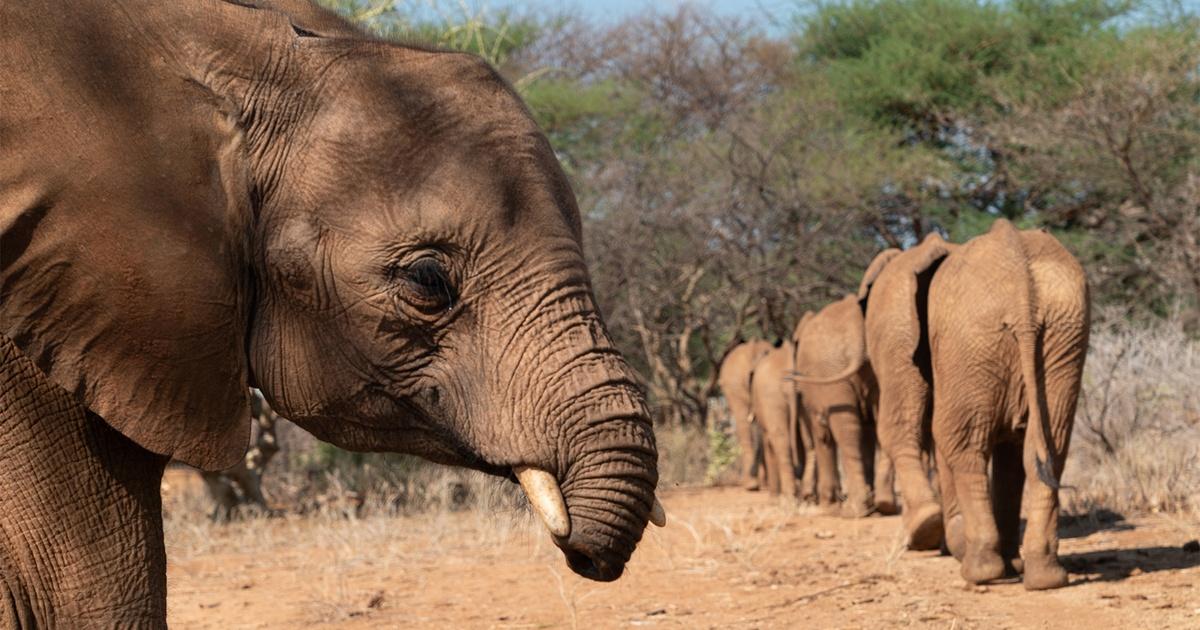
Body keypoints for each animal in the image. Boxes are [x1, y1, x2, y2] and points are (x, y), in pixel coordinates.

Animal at [790, 296, 896, 517]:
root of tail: (857, 328)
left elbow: (822, 435)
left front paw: (827, 507)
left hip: (830, 369)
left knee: (845, 431)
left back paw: (854, 509)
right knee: (877, 420)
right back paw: (883, 505)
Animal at [928, 219, 1089, 590]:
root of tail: (1022, 294)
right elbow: (1015, 456)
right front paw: (1014, 565)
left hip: (972, 340)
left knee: (965, 446)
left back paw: (980, 572)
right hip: (1063, 334)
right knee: (1048, 449)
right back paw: (1046, 577)